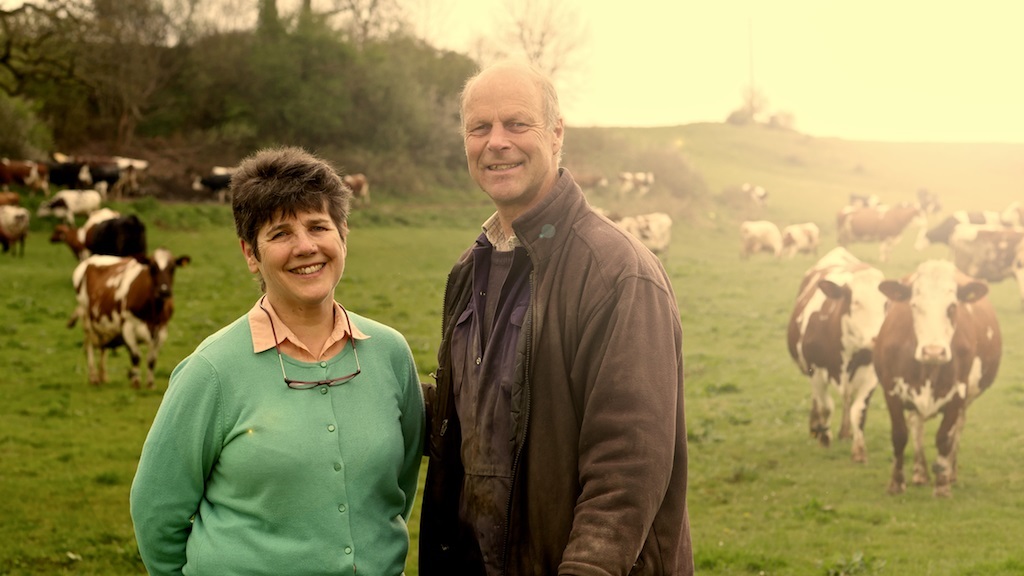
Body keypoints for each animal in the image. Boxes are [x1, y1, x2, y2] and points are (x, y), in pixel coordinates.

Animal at [73, 245, 192, 385]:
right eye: (152, 267)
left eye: (173, 267)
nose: (164, 291)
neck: (153, 313)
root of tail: (93, 258)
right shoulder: (128, 327)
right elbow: (135, 356)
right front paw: (135, 382)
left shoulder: (162, 330)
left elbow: (152, 359)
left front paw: (150, 383)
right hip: (86, 318)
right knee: (89, 346)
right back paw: (94, 377)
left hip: (102, 326)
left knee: (103, 348)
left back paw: (103, 376)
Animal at [782, 243, 888, 459]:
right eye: (856, 302)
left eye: (886, 304)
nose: (877, 337)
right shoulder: (816, 370)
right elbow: (825, 406)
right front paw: (824, 438)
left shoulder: (871, 374)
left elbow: (858, 410)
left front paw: (859, 449)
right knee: (818, 400)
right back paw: (816, 427)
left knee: (847, 400)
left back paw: (846, 432)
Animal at [872, 259, 999, 494]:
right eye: (914, 305)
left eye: (952, 307)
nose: (933, 351)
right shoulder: (891, 390)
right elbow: (899, 435)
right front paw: (896, 483)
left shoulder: (958, 393)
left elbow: (944, 438)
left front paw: (942, 486)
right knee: (917, 425)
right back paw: (920, 472)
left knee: (957, 429)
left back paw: (950, 472)